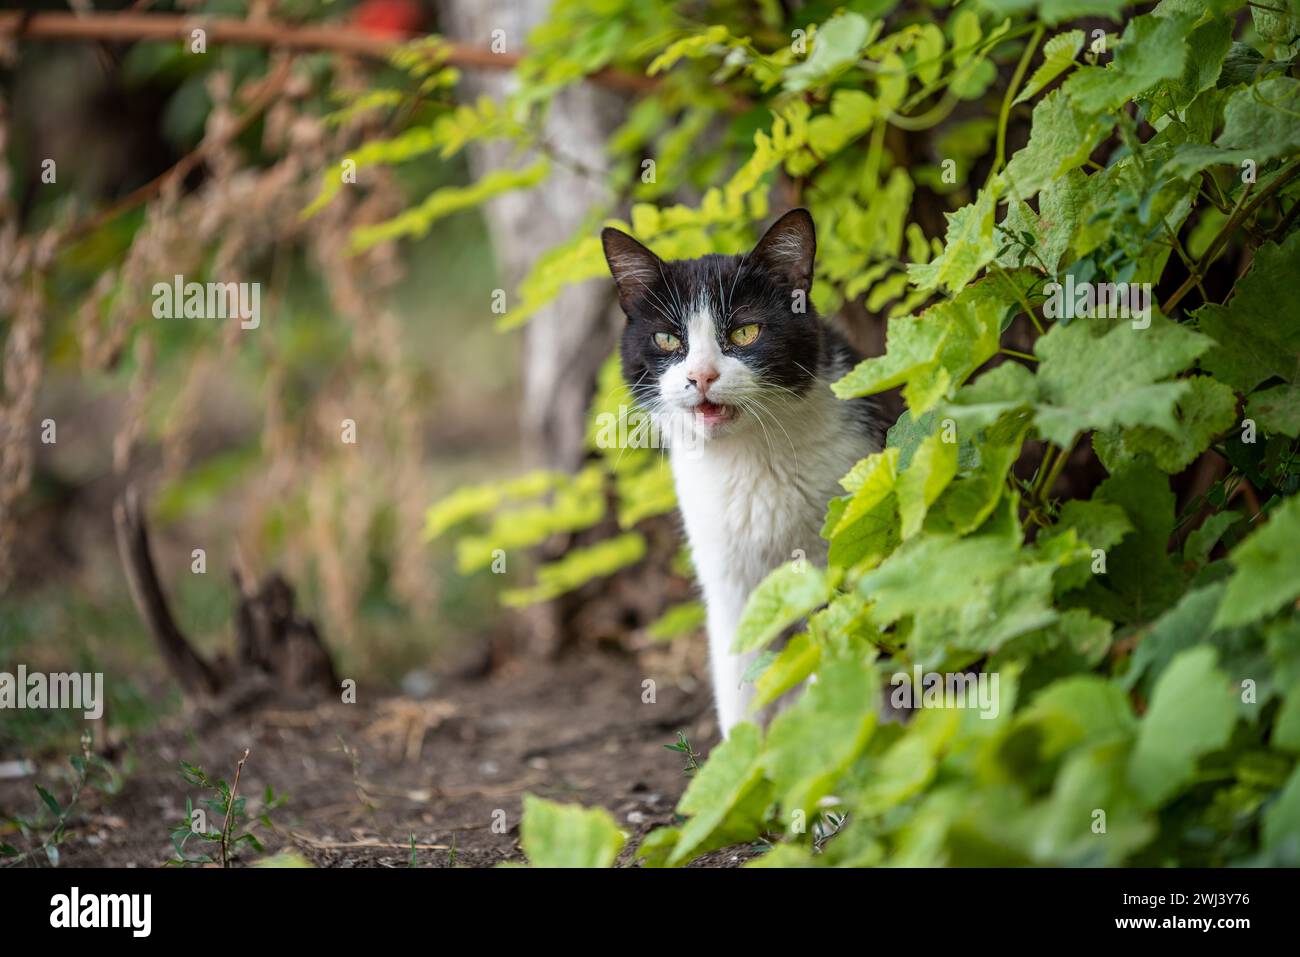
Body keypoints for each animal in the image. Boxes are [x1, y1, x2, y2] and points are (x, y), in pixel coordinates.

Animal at [598, 208, 883, 733]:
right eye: (667, 338)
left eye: (745, 333)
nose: (701, 375)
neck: (749, 459)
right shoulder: (728, 582)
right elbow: (739, 676)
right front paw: (744, 753)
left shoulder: (845, 541)